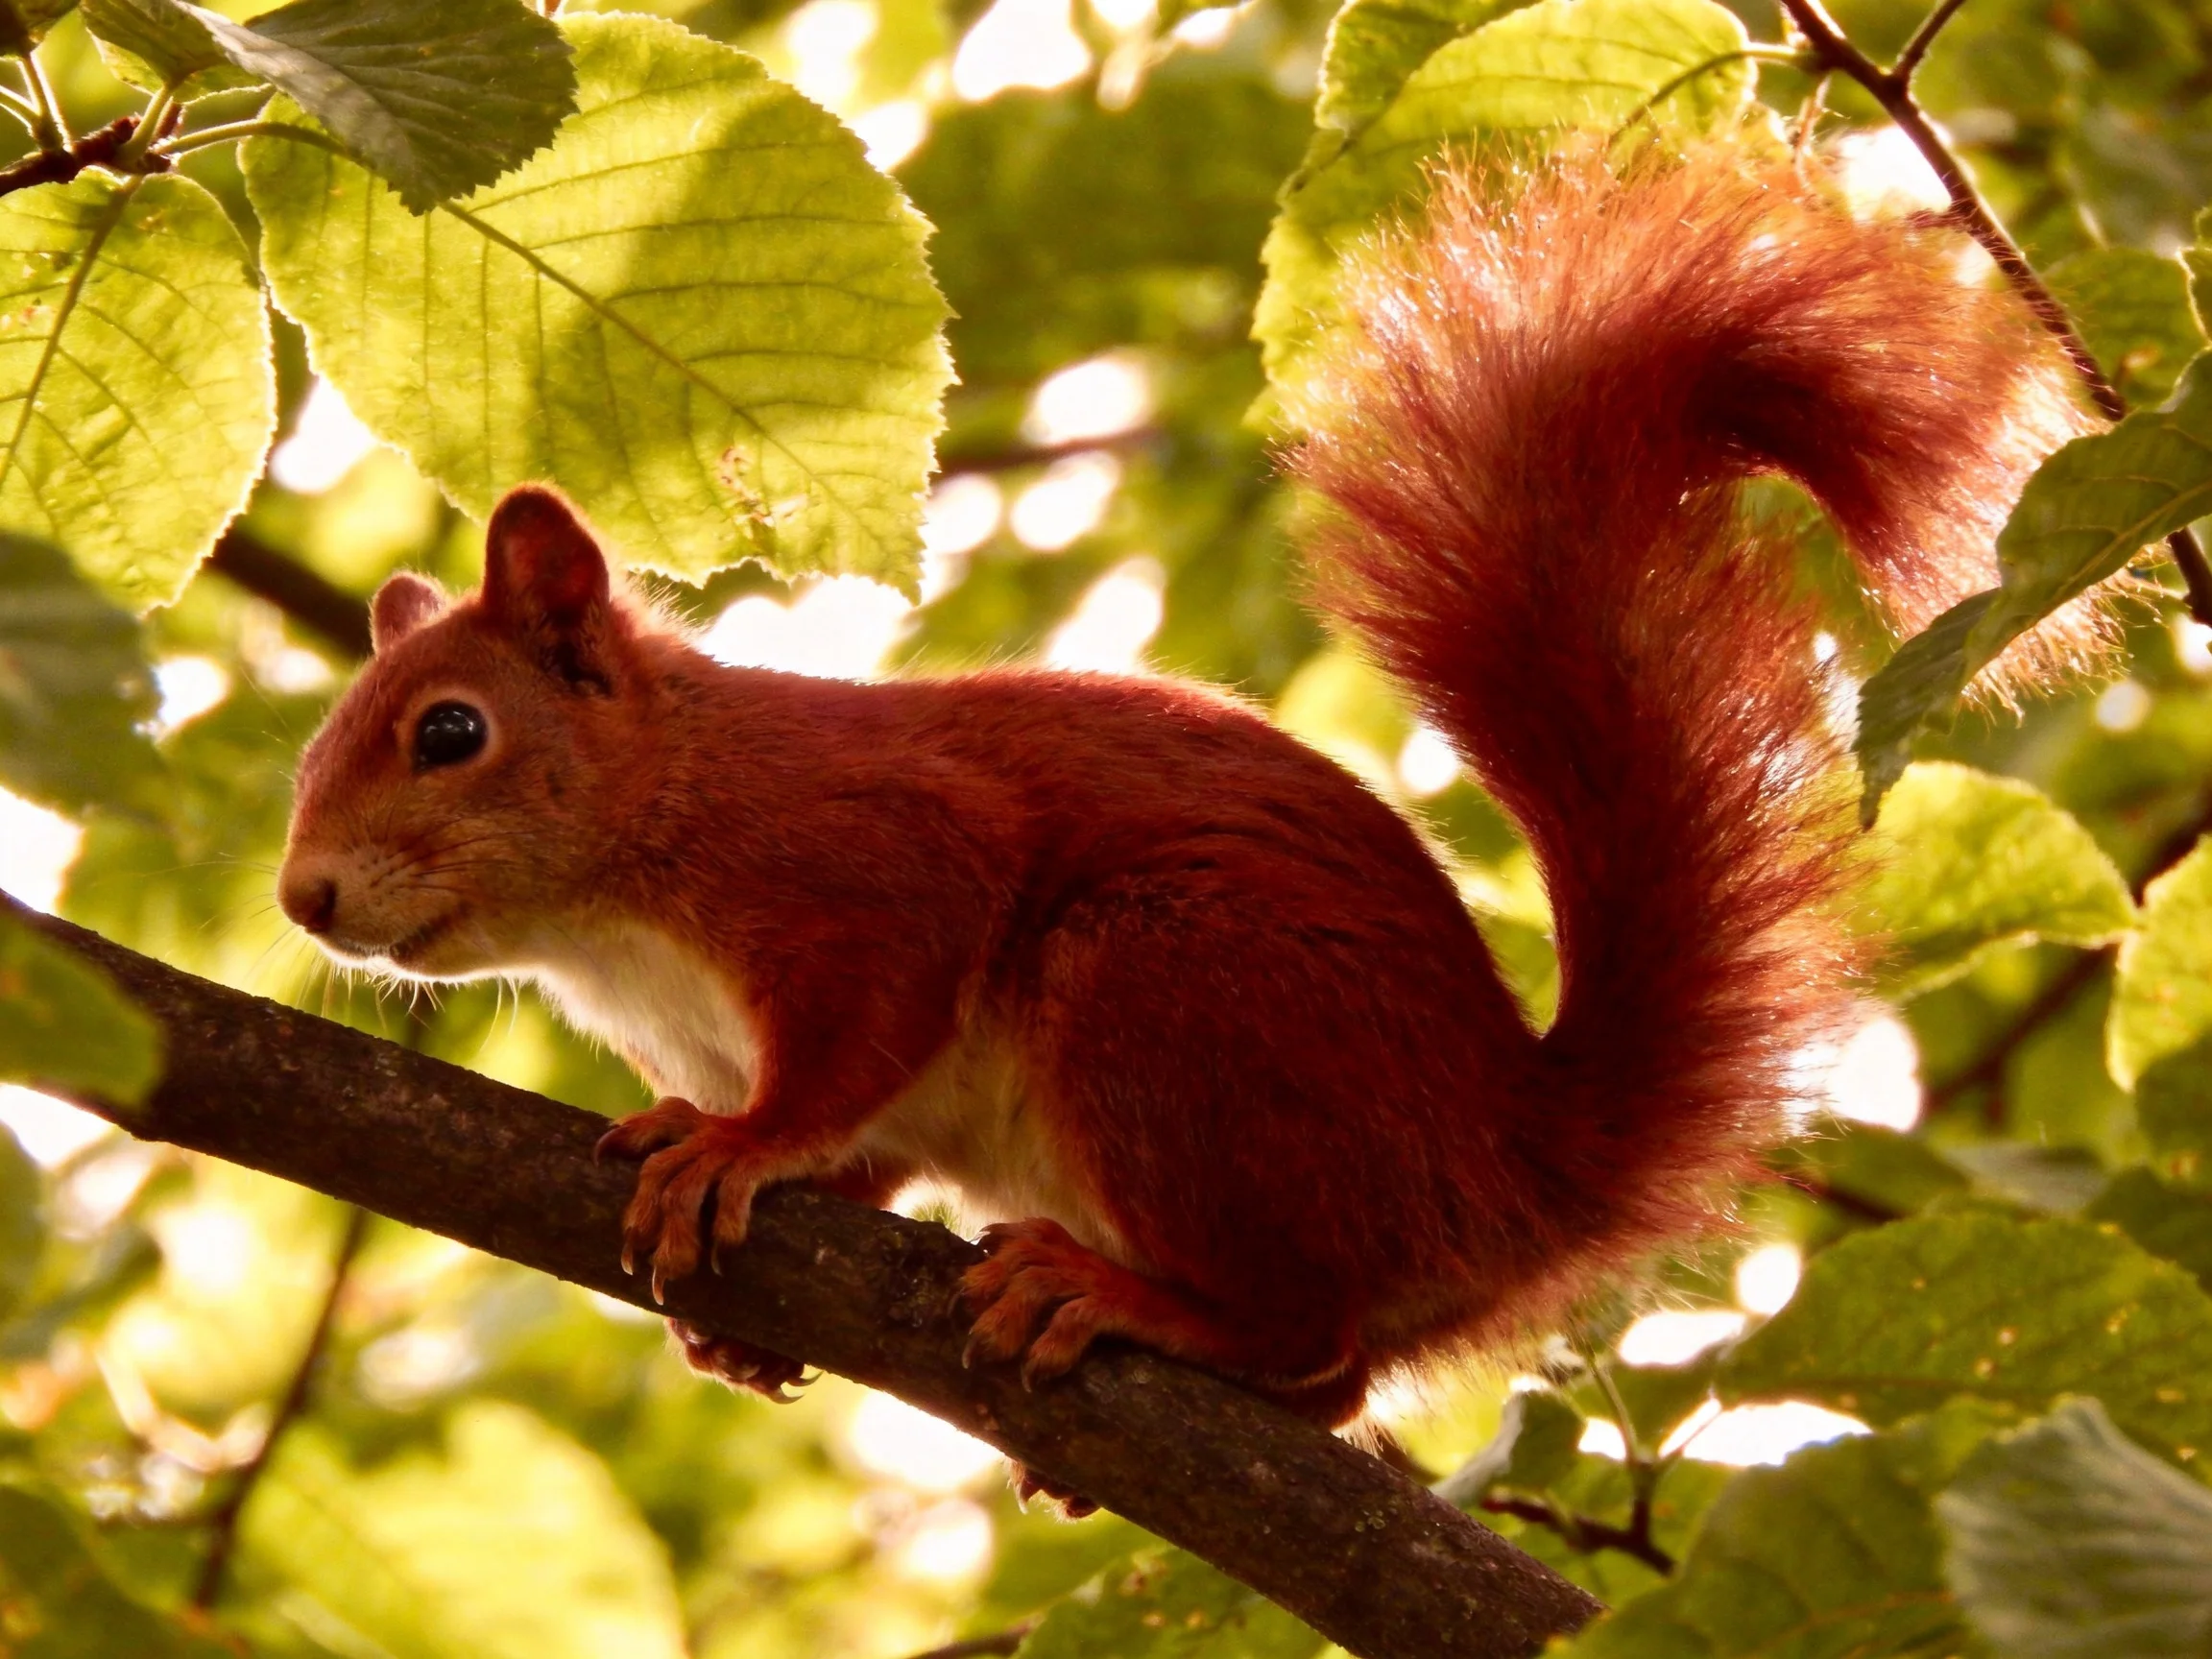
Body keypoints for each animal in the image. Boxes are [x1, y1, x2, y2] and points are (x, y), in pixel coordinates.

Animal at [279, 144, 2100, 1465]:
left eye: (450, 731)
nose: (302, 896)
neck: (627, 890)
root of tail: (1512, 1161)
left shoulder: (865, 856)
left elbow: (856, 1041)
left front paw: (737, 1146)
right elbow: (879, 1144)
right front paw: (736, 1297)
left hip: (1168, 986)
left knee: (1305, 1331)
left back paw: (1122, 1300)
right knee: (1338, 1379)